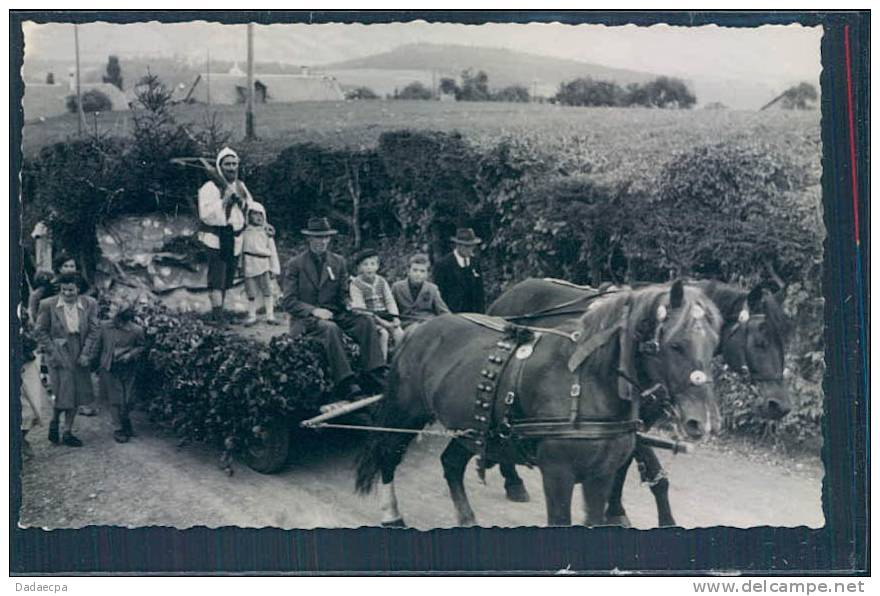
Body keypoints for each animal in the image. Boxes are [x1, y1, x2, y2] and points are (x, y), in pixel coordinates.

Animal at [354, 282, 720, 528]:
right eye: (676, 344)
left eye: (714, 343)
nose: (702, 422)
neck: (585, 385)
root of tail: (418, 328)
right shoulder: (557, 473)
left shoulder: (599, 475)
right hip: (406, 412)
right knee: (387, 454)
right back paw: (392, 514)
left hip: (470, 428)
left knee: (451, 463)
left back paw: (467, 516)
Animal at [488, 278, 792, 524]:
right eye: (761, 341)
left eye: (785, 340)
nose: (781, 405)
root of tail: (511, 293)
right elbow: (651, 475)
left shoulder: (631, 425)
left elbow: (621, 468)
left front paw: (616, 510)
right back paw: (513, 481)